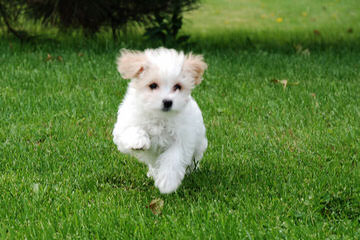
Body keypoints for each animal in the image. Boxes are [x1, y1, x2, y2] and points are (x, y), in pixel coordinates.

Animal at [112, 47, 208, 194]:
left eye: (177, 87)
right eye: (153, 85)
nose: (168, 102)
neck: (159, 117)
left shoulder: (183, 138)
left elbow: (173, 158)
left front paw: (167, 182)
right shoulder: (124, 126)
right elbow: (131, 130)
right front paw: (138, 141)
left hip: (199, 144)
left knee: (193, 159)